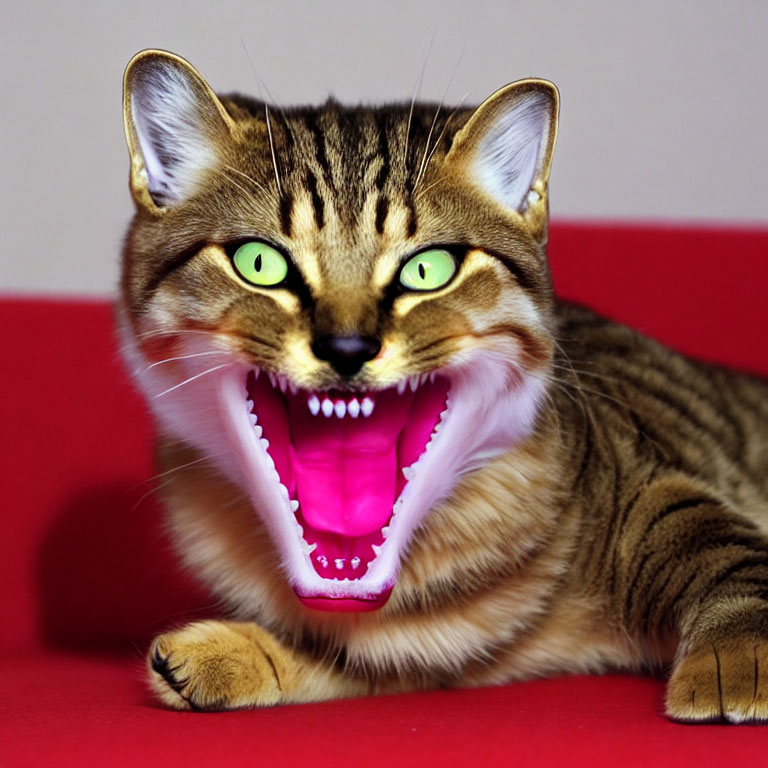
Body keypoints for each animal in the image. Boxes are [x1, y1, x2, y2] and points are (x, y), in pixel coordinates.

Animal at [118, 48, 768, 720]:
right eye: (259, 263)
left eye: (428, 270)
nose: (347, 347)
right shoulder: (405, 653)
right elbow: (356, 658)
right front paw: (236, 655)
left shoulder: (655, 488)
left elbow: (735, 565)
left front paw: (737, 658)